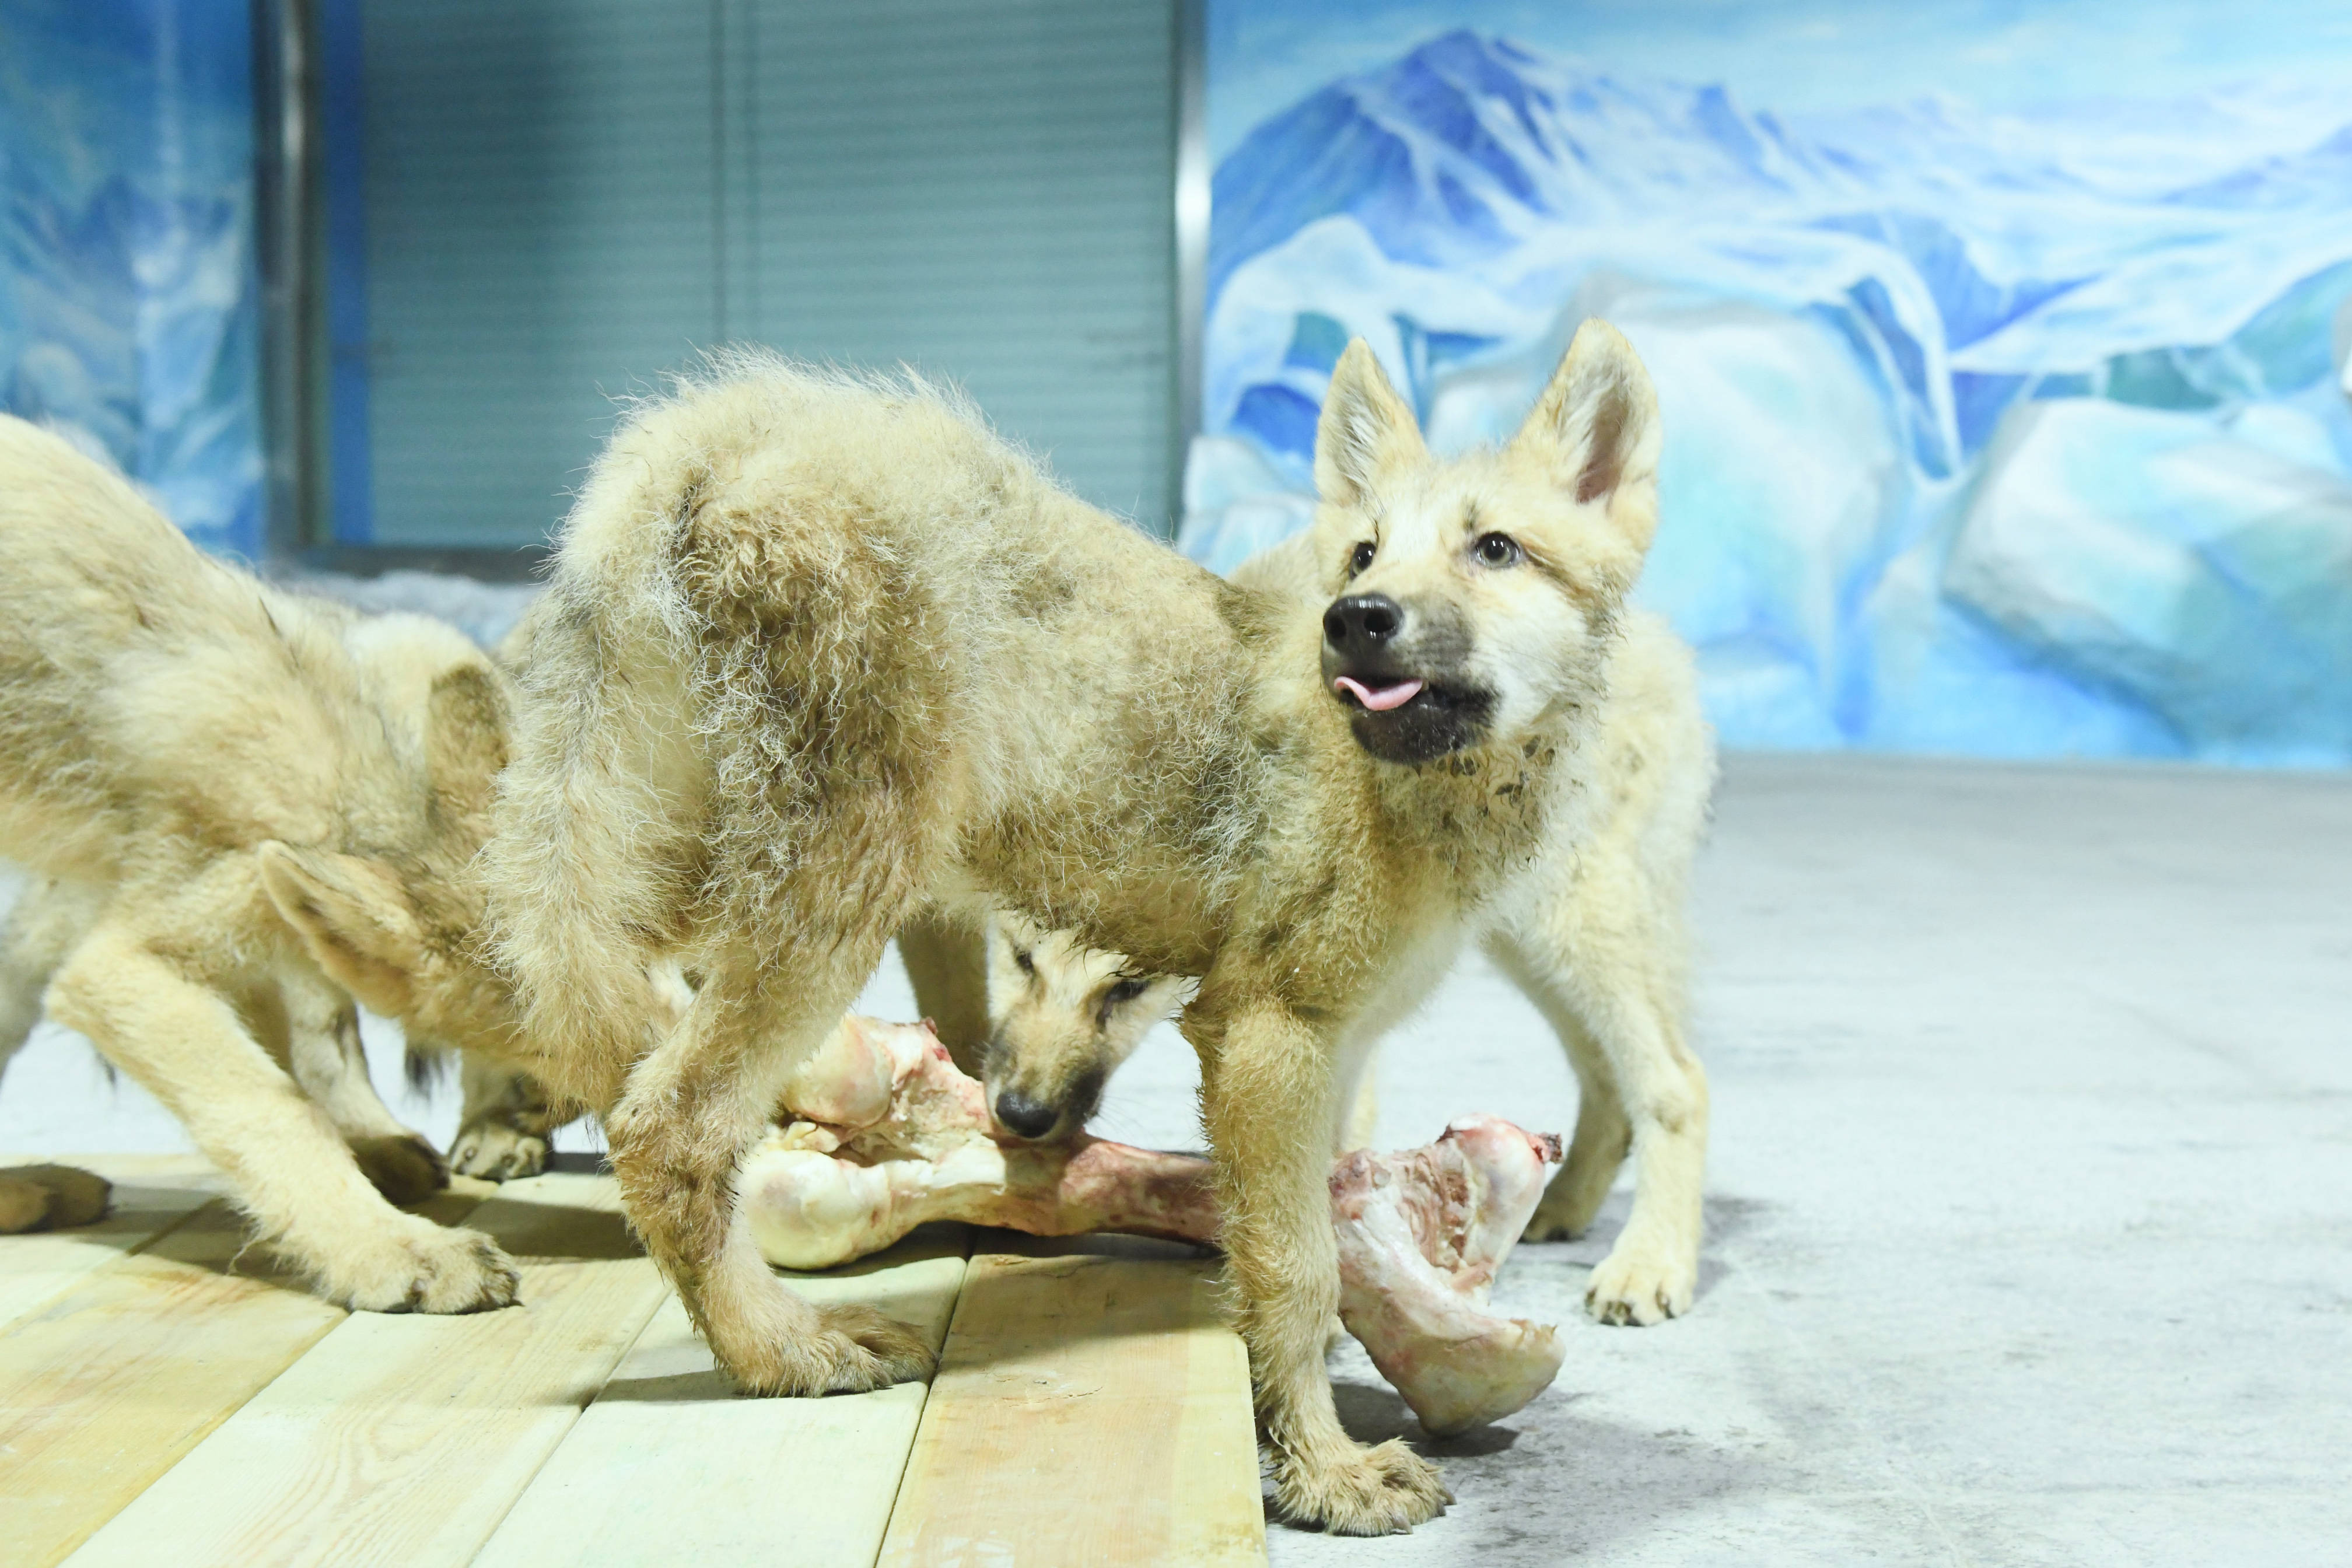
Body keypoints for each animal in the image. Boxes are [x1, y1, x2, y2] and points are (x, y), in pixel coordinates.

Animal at [432, 320, 1674, 1532]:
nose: (1355, 621)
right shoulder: (1265, 1038)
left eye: (1495, 549)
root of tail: (713, 423)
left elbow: (1310, 1225)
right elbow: (1294, 1264)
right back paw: (782, 1350)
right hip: (828, 906)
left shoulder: (1331, 1045)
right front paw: (1322, 1471)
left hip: (664, 888)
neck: (1405, 784)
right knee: (668, 1128)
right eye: (1364, 556)